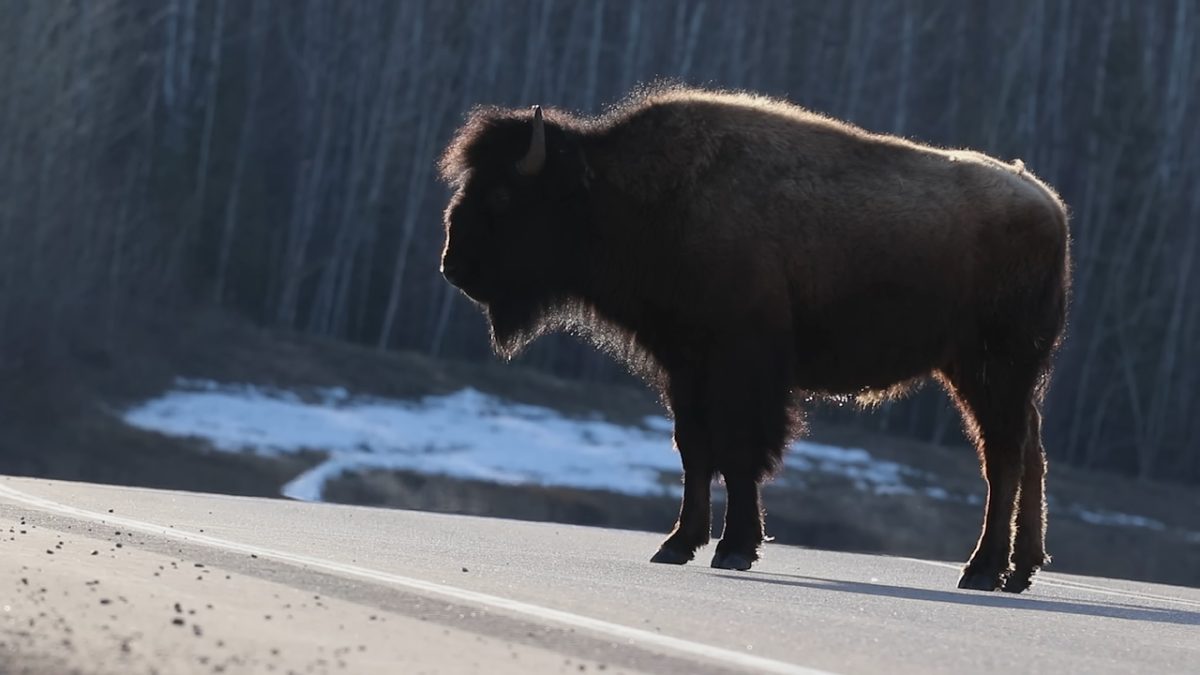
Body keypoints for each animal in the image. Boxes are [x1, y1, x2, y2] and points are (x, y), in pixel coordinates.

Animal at [436, 85, 1070, 593]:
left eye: (502, 196)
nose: (453, 266)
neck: (628, 192)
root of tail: (1047, 203)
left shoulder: (742, 365)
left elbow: (740, 451)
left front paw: (735, 549)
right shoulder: (685, 367)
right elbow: (694, 448)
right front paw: (676, 545)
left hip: (995, 368)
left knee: (1004, 456)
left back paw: (982, 571)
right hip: (986, 374)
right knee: (1030, 450)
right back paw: (1019, 571)